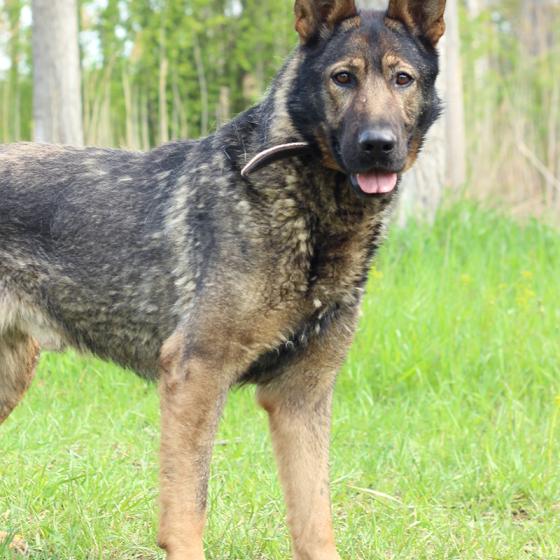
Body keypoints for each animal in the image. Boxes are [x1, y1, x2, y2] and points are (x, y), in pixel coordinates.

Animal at [0, 0, 446, 558]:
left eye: (402, 79)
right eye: (343, 78)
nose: (378, 146)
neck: (306, 212)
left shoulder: (300, 399)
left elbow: (315, 522)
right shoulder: (196, 376)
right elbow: (188, 511)